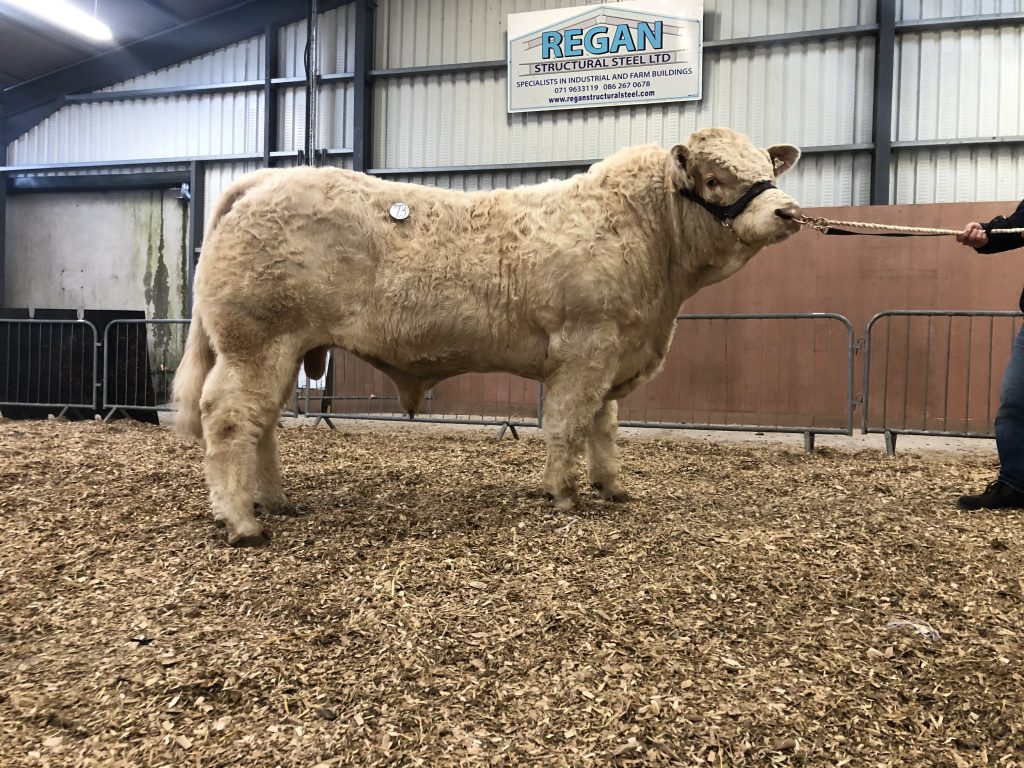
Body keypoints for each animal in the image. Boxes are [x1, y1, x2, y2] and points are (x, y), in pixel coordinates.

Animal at [173, 127, 802, 546]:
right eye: (715, 179)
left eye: (770, 172)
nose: (790, 212)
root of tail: (267, 178)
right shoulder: (586, 347)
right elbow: (568, 424)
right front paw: (563, 496)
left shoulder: (615, 352)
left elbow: (603, 426)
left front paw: (611, 487)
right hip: (255, 342)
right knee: (229, 418)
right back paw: (242, 522)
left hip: (285, 349)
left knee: (263, 424)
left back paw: (276, 501)